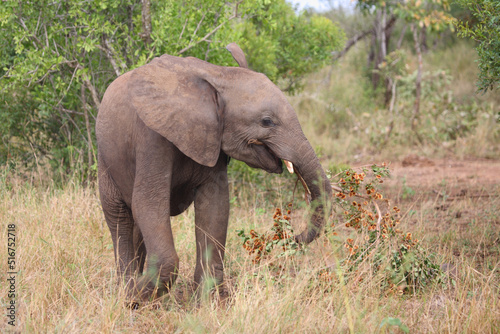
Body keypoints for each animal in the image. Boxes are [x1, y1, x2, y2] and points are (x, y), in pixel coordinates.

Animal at [96, 43, 334, 302]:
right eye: (267, 121)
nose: (294, 238)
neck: (219, 75)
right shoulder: (152, 137)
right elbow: (148, 202)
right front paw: (135, 298)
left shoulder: (214, 138)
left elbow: (215, 205)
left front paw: (209, 301)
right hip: (105, 159)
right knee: (119, 216)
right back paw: (126, 287)